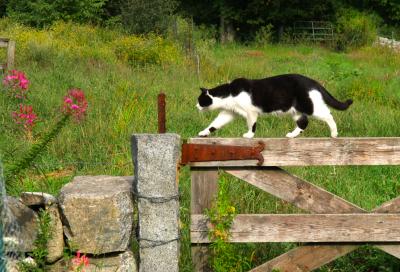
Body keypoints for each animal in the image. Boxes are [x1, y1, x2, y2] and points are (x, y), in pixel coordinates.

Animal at [197, 73, 354, 138]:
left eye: (199, 100)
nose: (196, 106)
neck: (229, 93)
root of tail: (313, 81)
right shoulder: (229, 112)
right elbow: (215, 124)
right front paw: (203, 133)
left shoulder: (251, 112)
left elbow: (252, 124)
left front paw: (249, 135)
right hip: (296, 111)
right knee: (303, 122)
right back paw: (292, 135)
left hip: (310, 106)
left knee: (328, 115)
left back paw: (334, 133)